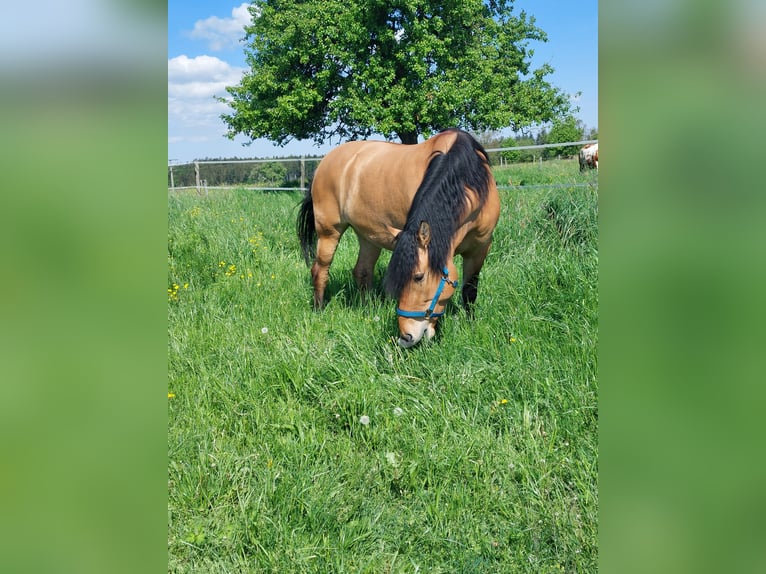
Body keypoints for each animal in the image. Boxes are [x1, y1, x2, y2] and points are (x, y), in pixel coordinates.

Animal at [297, 128, 500, 347]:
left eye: (418, 276)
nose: (406, 337)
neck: (470, 181)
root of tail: (323, 163)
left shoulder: (480, 248)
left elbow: (470, 290)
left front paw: (470, 324)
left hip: (368, 237)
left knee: (362, 272)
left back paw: (368, 310)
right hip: (329, 232)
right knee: (320, 271)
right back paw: (319, 310)